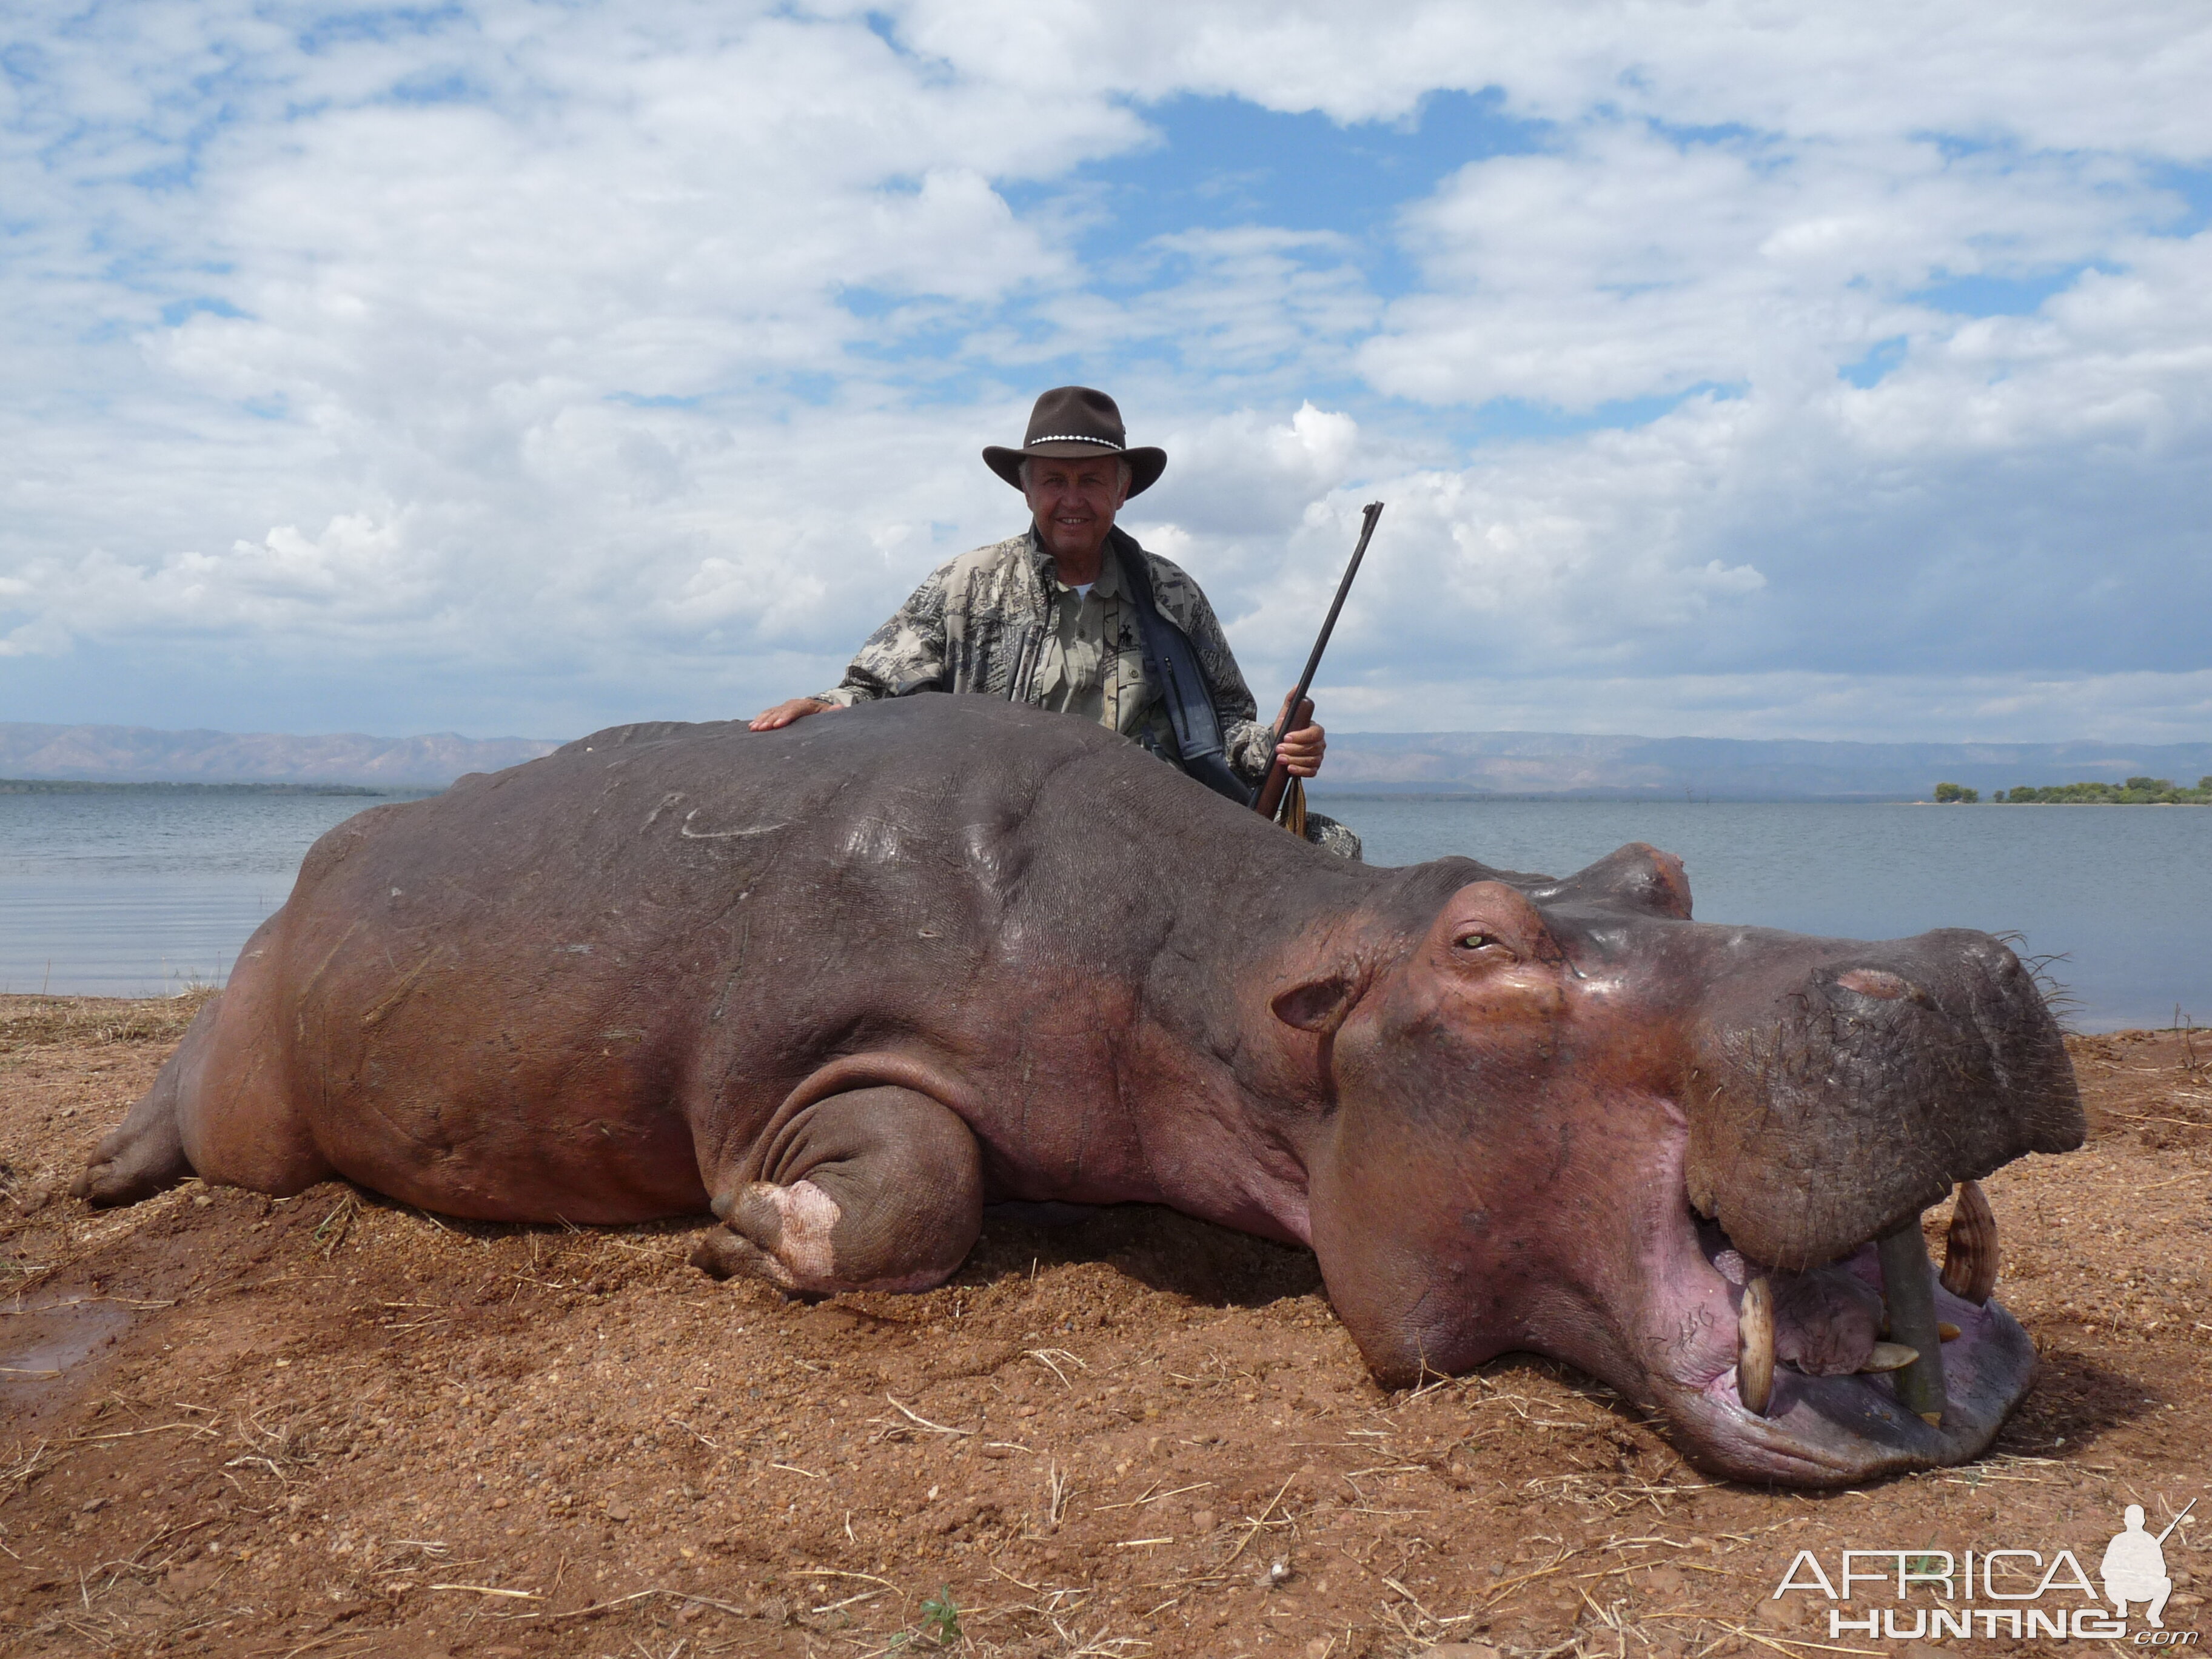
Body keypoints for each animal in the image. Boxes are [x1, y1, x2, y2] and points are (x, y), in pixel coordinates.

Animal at [69, 694, 2070, 1486]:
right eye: (1484, 943)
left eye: (1658, 869)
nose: (1963, 962)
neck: (1245, 972)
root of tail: (329, 850)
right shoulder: (818, 1051)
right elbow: (912, 1181)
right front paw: (750, 1229)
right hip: (254, 1049)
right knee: (188, 1086)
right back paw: (94, 1177)